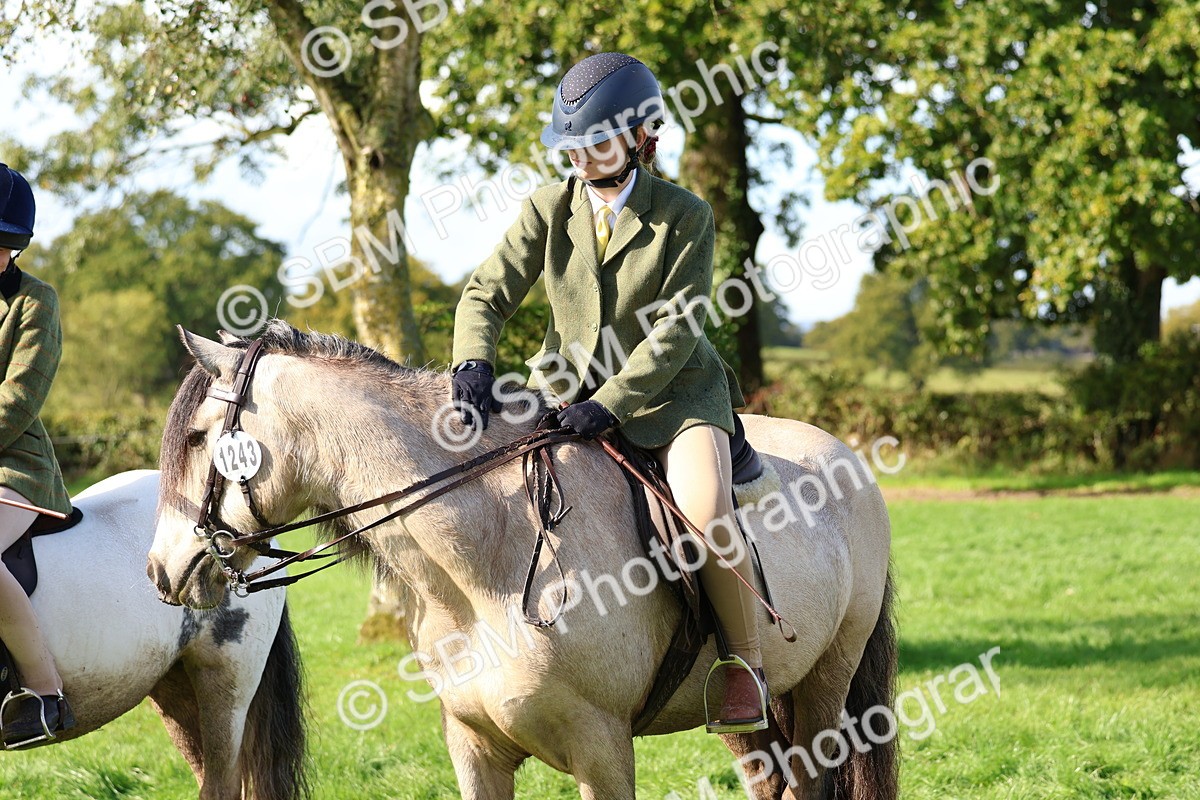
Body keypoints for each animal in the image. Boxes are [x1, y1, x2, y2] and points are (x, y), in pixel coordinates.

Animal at [148, 321, 897, 800]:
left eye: (197, 436)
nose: (160, 570)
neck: (485, 564)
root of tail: (844, 455)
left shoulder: (602, 750)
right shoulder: (474, 749)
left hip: (828, 678)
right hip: (749, 716)